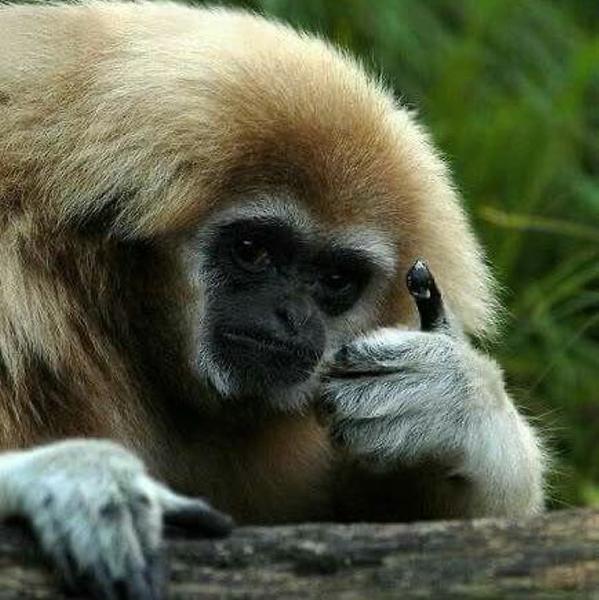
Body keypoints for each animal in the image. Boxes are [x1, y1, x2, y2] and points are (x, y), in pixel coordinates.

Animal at [0, 2, 545, 597]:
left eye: (336, 279)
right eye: (252, 250)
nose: (292, 315)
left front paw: (453, 401)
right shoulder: (16, 297)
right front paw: (73, 475)